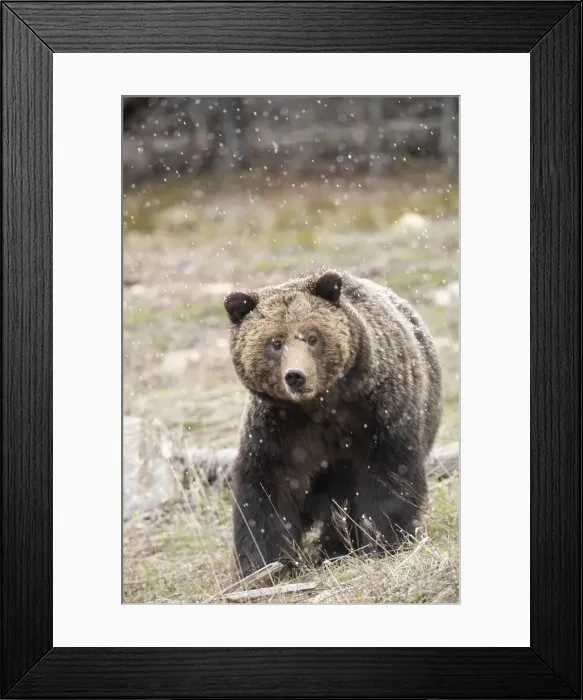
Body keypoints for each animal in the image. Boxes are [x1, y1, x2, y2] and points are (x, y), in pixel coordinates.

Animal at [223, 268, 443, 579]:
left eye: (312, 337)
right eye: (276, 342)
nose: (296, 375)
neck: (320, 406)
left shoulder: (378, 414)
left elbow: (388, 476)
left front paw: (383, 543)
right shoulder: (278, 428)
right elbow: (265, 490)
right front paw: (262, 567)